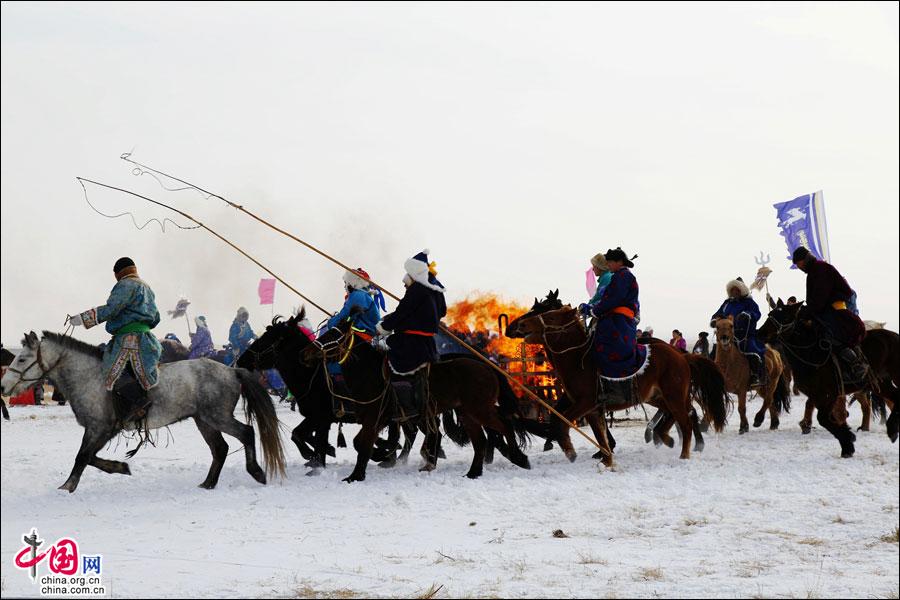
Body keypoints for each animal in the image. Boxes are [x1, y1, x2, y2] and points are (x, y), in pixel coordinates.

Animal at [0, 332, 284, 492]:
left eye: (22, 359)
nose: (3, 386)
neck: (89, 377)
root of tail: (231, 370)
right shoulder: (100, 429)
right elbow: (89, 457)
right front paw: (121, 467)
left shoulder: (101, 427)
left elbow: (82, 457)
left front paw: (67, 486)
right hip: (204, 420)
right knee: (220, 449)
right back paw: (208, 483)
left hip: (218, 417)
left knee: (246, 433)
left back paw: (256, 472)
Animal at [756, 300, 896, 454]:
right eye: (771, 314)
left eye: (785, 317)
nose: (760, 333)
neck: (812, 353)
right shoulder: (817, 395)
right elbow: (826, 417)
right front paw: (847, 439)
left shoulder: (830, 393)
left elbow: (824, 417)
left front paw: (847, 442)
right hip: (880, 384)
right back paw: (890, 429)